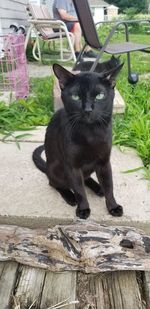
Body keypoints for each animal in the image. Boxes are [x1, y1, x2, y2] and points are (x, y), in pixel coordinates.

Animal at [32, 61, 123, 218]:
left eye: (99, 96)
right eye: (75, 97)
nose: (87, 109)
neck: (91, 133)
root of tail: (47, 168)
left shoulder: (104, 162)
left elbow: (109, 186)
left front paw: (113, 206)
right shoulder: (73, 166)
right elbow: (79, 190)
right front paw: (83, 209)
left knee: (86, 178)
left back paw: (98, 188)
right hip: (56, 168)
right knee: (55, 183)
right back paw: (70, 196)